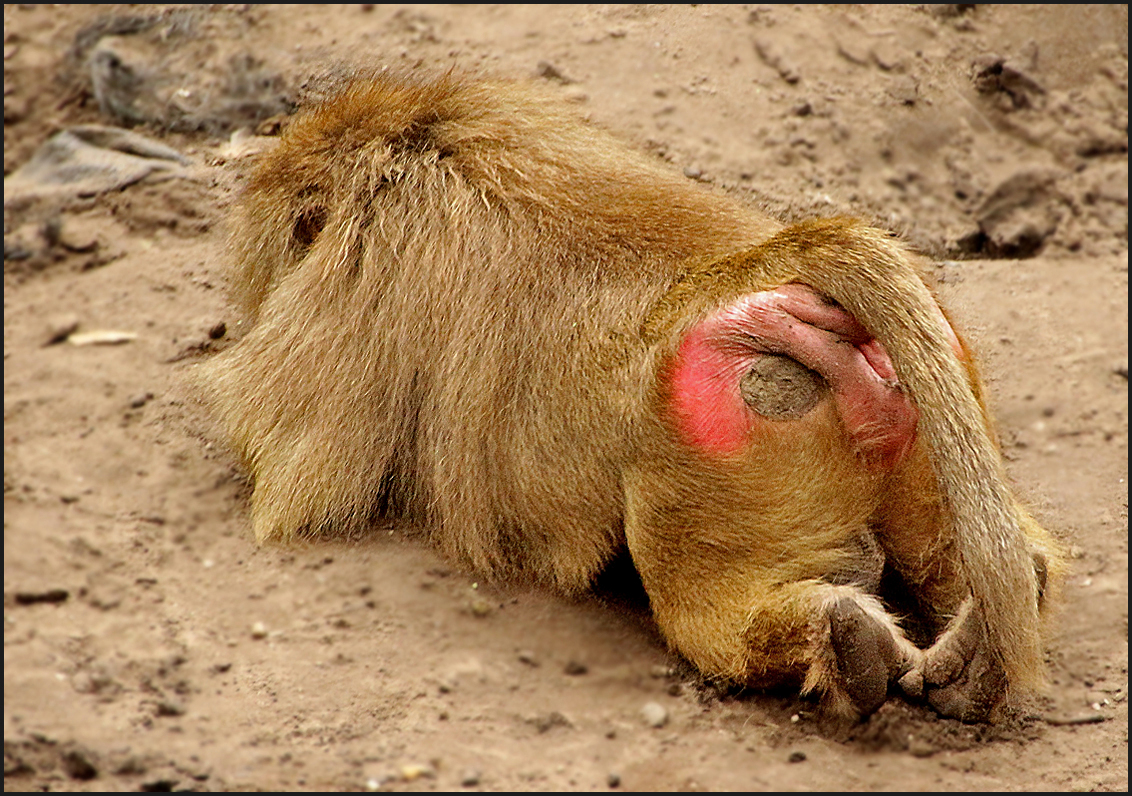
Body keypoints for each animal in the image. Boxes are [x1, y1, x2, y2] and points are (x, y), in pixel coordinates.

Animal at [199, 71, 1064, 724]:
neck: (422, 143)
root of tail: (767, 270)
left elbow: (291, 474)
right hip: (917, 402)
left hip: (708, 452)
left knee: (700, 609)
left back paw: (842, 643)